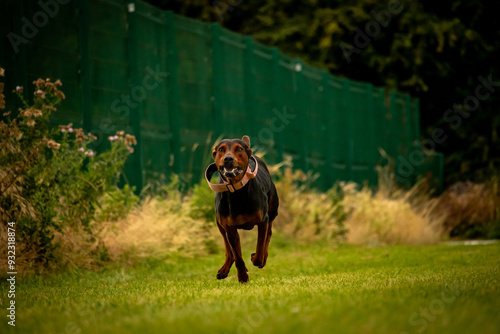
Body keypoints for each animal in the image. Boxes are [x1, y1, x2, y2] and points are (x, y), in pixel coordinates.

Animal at [205, 134, 280, 284]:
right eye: (221, 149)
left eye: (239, 149)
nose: (228, 158)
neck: (236, 192)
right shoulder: (229, 228)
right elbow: (237, 255)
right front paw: (243, 277)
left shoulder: (263, 220)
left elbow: (260, 245)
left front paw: (257, 259)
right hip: (219, 223)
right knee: (228, 249)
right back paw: (224, 270)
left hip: (272, 211)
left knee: (268, 234)